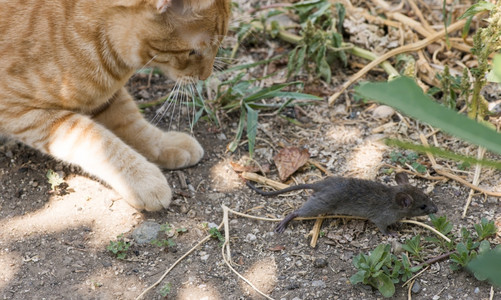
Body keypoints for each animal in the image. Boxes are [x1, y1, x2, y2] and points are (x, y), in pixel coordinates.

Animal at [0, 0, 230, 211]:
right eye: (193, 52)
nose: (206, 75)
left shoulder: (106, 98)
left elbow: (135, 126)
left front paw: (165, 144)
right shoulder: (20, 114)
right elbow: (97, 139)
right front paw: (143, 180)